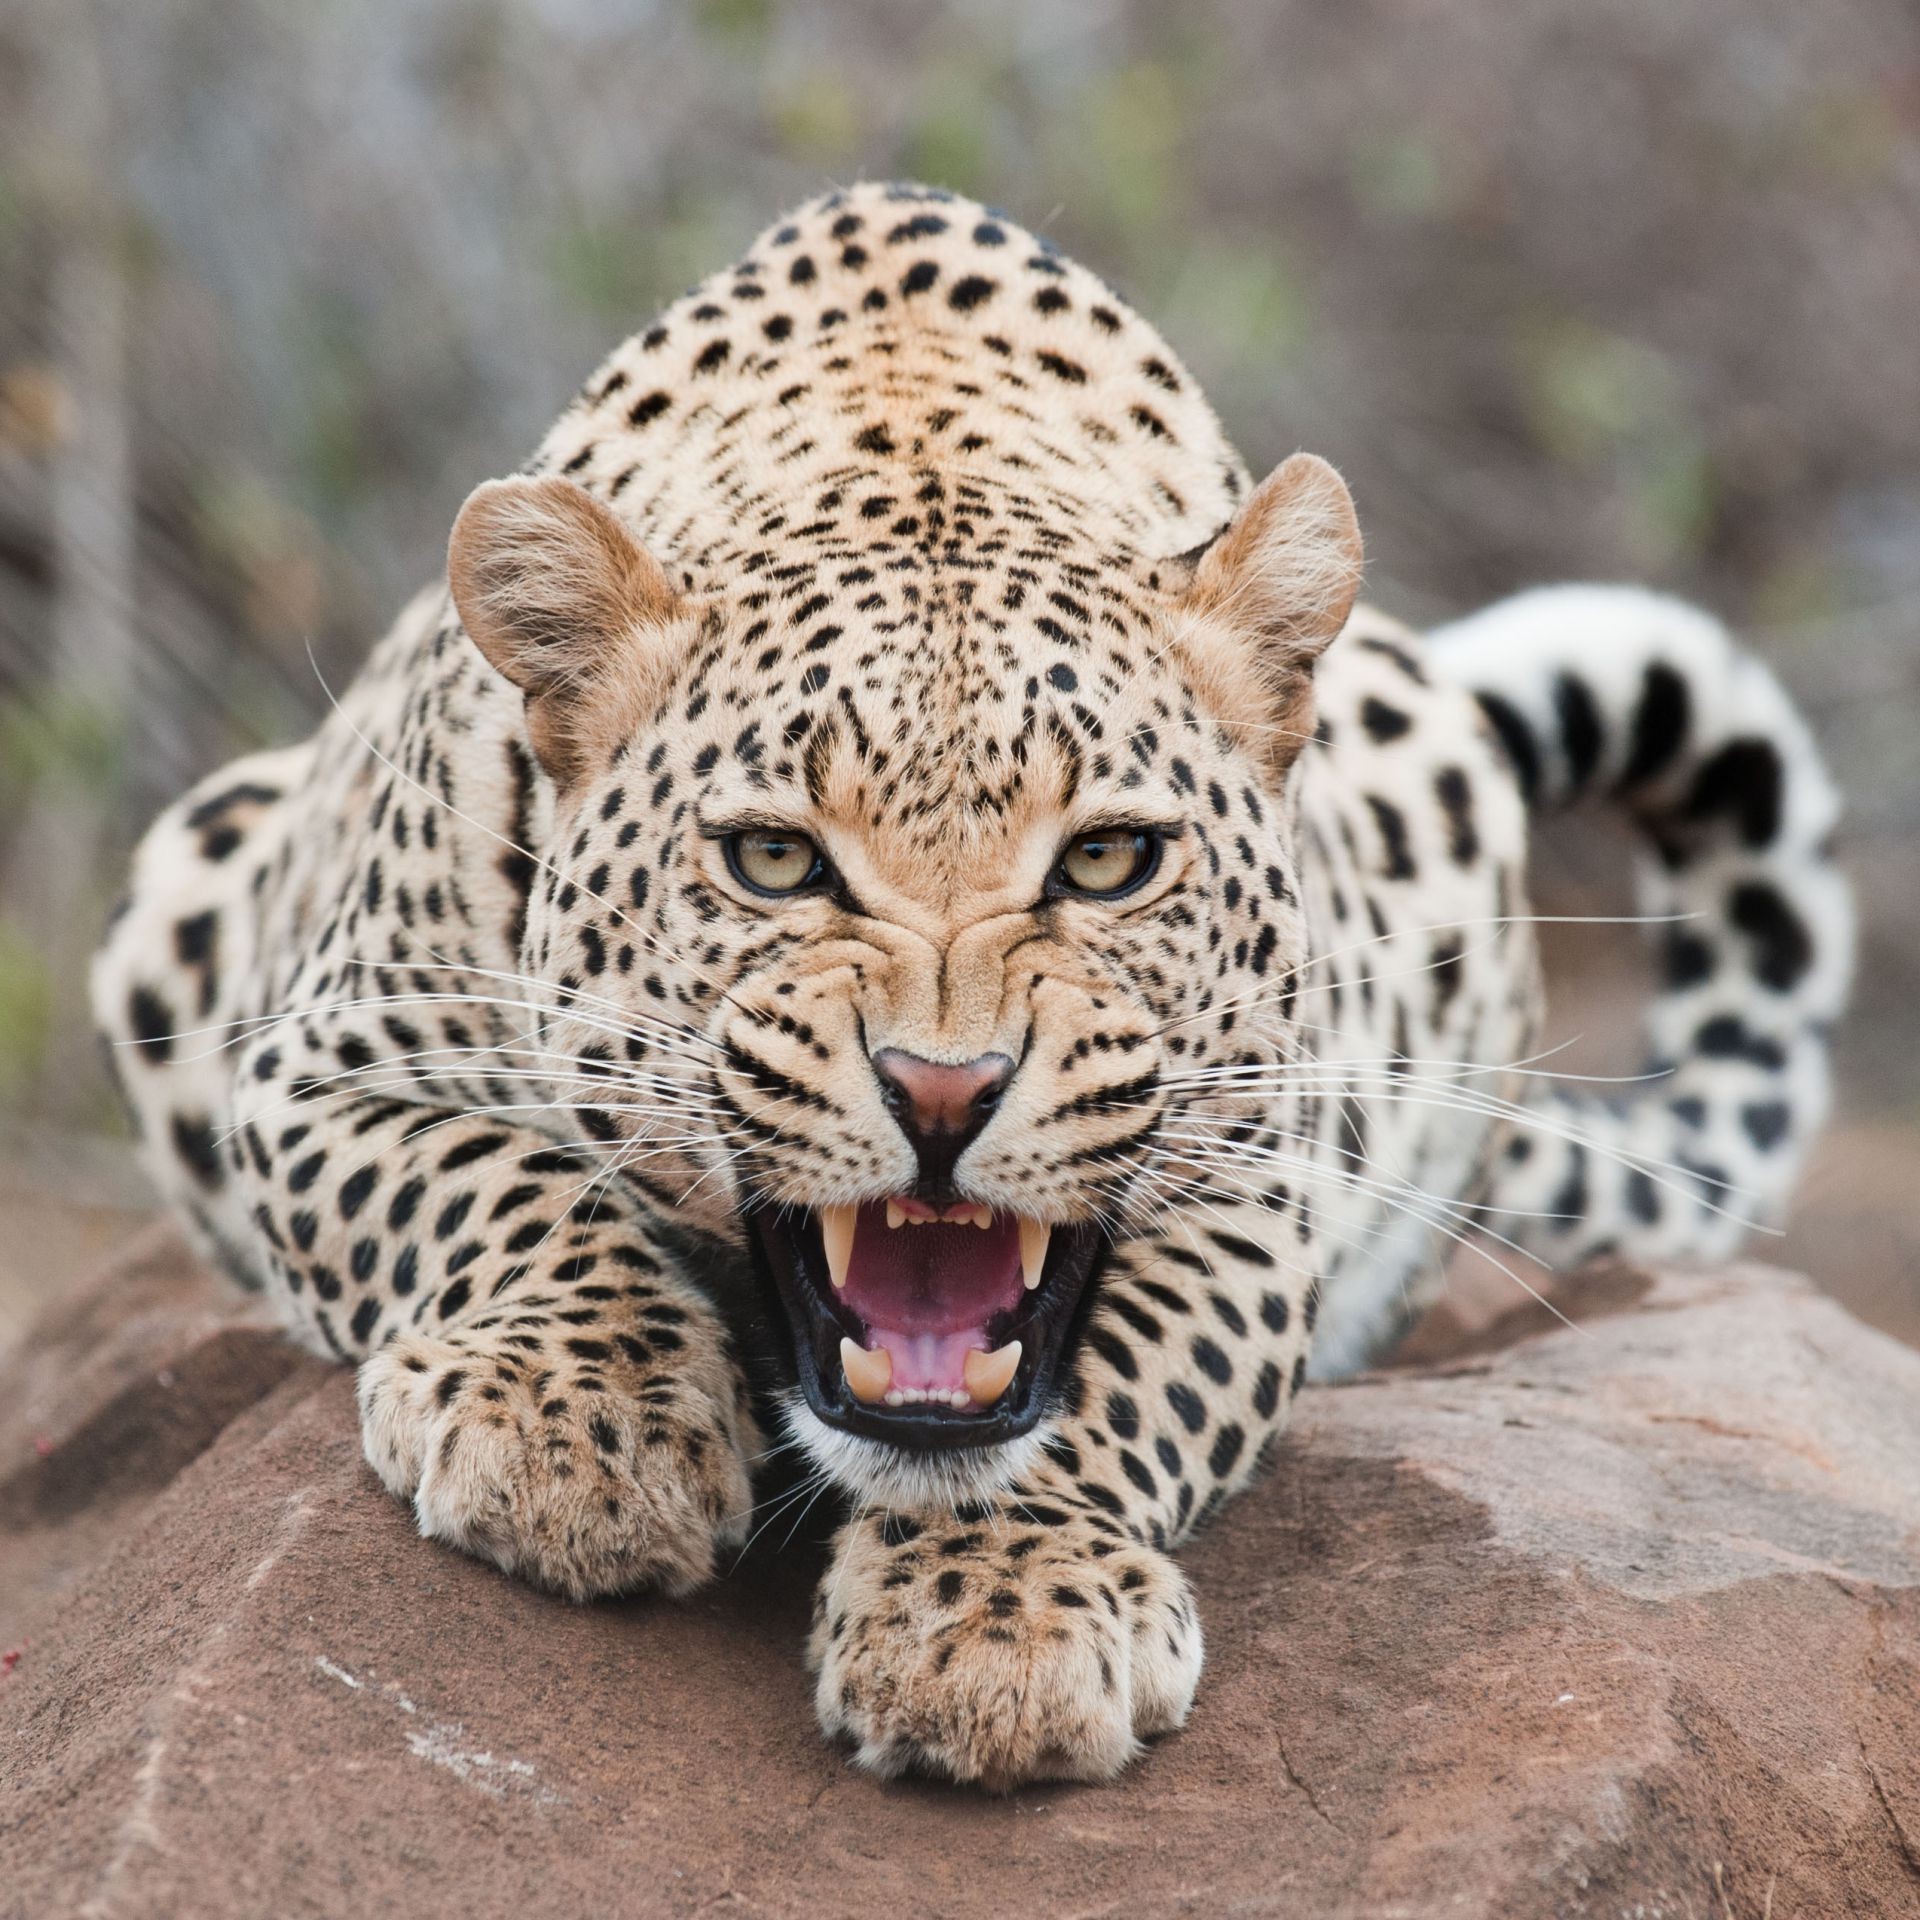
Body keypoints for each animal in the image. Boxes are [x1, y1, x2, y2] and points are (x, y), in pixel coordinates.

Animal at [90, 180, 1843, 1781]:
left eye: (1110, 861)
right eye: (776, 861)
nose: (944, 1093)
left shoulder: (1257, 1178)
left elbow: (1124, 1378)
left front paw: (1000, 1618)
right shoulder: (315, 1058)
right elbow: (489, 1186)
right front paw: (577, 1429)